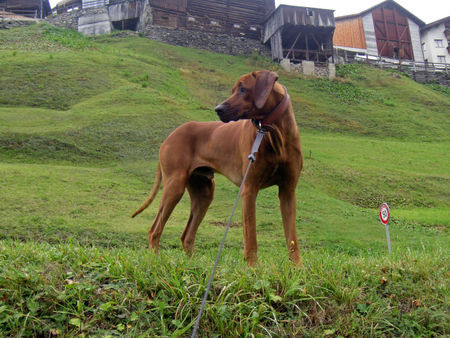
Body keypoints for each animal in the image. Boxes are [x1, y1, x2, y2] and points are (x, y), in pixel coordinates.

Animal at [132, 70, 304, 266]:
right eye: (234, 89)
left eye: (243, 89)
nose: (218, 109)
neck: (273, 133)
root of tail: (169, 136)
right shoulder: (249, 189)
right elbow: (251, 235)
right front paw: (254, 267)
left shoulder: (288, 191)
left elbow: (292, 237)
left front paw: (297, 267)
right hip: (175, 186)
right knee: (154, 230)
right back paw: (156, 261)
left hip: (204, 192)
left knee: (186, 236)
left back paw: (195, 264)